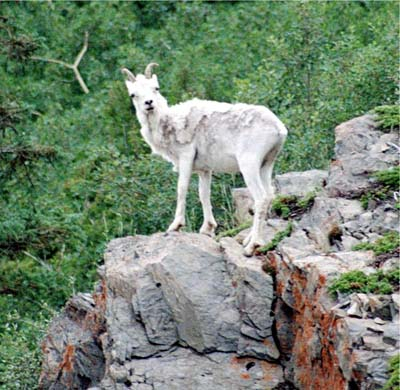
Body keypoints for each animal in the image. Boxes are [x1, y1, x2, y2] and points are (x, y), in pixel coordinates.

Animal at [122, 62, 288, 254]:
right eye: (133, 94)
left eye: (156, 88)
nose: (149, 103)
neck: (168, 124)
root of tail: (278, 129)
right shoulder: (204, 170)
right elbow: (204, 194)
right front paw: (207, 228)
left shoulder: (186, 156)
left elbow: (182, 188)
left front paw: (175, 226)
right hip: (266, 165)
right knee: (269, 195)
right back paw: (250, 240)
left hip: (249, 165)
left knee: (261, 198)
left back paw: (252, 246)